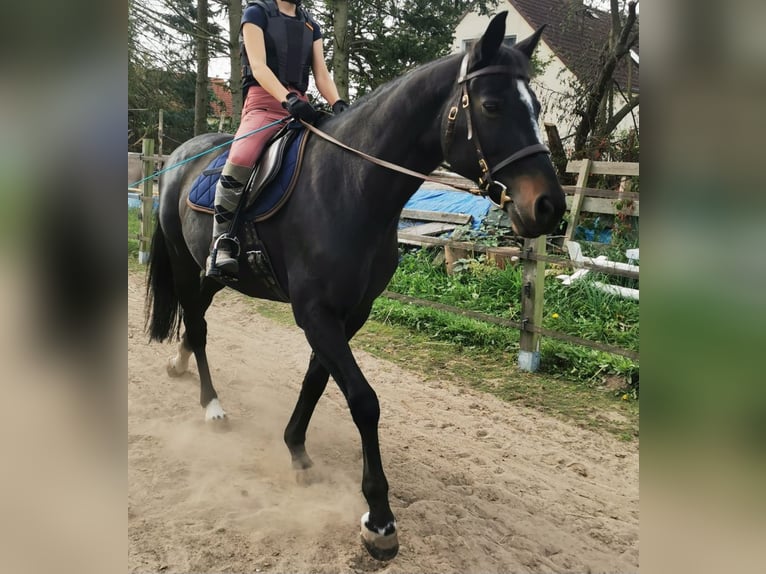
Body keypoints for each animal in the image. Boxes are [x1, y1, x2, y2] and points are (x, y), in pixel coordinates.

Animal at [146, 12, 564, 564]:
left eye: (536, 107)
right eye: (493, 106)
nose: (549, 207)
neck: (350, 185)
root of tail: (181, 155)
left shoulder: (350, 313)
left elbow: (317, 381)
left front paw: (297, 450)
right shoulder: (316, 313)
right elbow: (364, 401)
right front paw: (379, 519)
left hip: (208, 273)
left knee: (196, 321)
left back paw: (179, 367)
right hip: (182, 261)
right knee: (196, 326)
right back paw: (212, 406)